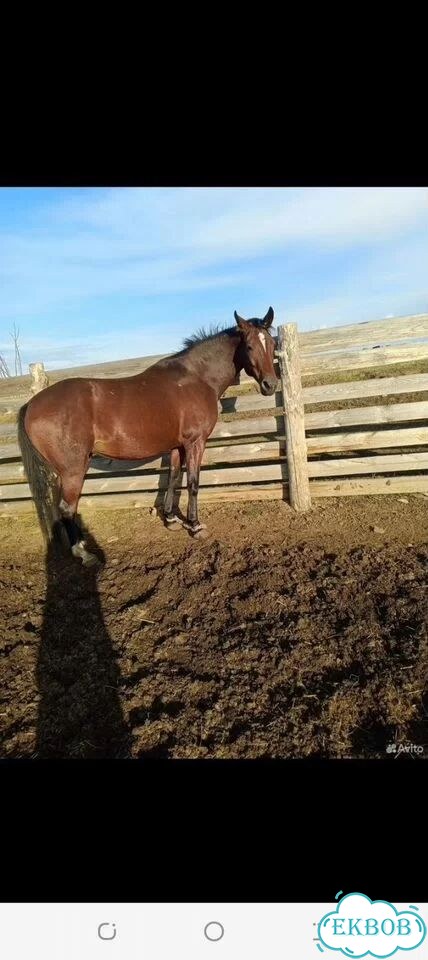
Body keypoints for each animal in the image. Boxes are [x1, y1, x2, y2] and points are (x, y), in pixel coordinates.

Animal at [18, 307, 278, 565]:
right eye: (250, 346)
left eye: (273, 344)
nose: (270, 385)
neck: (197, 378)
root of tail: (32, 404)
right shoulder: (195, 443)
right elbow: (193, 482)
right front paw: (195, 526)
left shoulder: (177, 445)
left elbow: (173, 477)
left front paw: (171, 519)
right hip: (73, 470)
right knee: (67, 507)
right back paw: (83, 552)